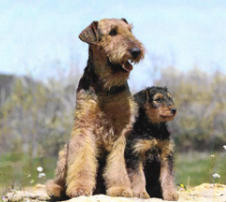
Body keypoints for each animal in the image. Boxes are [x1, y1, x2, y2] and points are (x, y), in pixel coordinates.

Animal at [46, 17, 144, 199]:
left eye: (130, 30)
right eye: (112, 32)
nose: (136, 51)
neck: (105, 87)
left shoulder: (121, 131)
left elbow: (117, 165)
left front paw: (121, 189)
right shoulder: (84, 127)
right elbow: (82, 162)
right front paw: (79, 188)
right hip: (65, 151)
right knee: (57, 180)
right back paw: (55, 190)